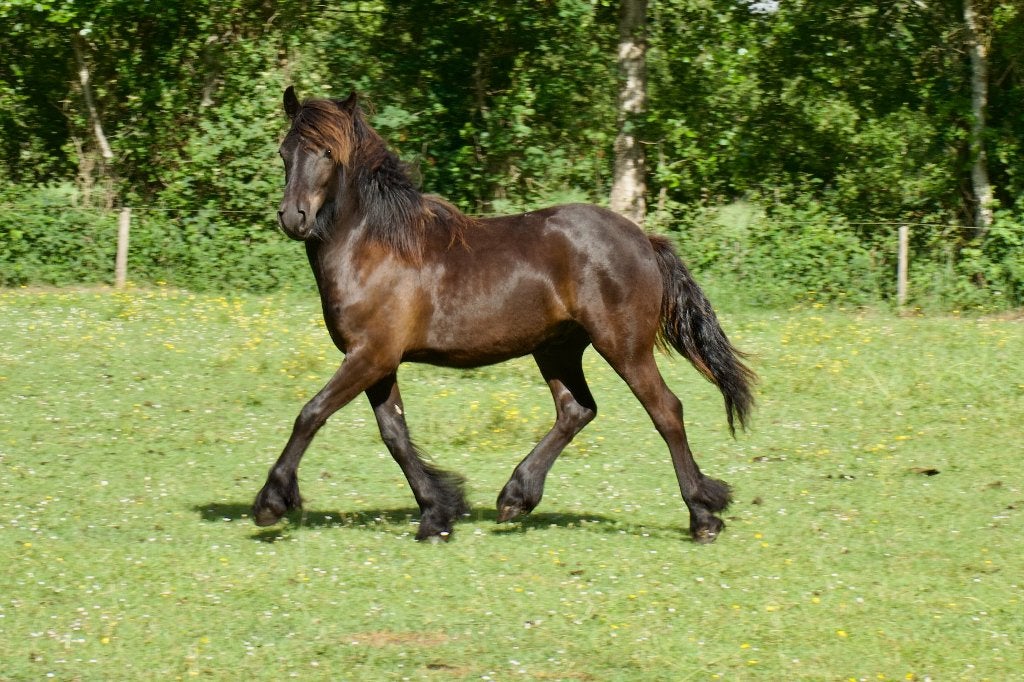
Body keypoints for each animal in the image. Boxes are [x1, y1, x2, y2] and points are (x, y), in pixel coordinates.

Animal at [252, 86, 756, 543]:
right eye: (284, 151)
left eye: (327, 152)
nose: (293, 217)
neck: (374, 249)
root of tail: (644, 240)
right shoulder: (379, 361)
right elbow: (394, 434)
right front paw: (437, 514)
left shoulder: (369, 356)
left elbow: (311, 413)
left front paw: (271, 503)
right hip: (557, 349)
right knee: (576, 410)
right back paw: (516, 496)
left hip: (623, 347)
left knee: (665, 410)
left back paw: (703, 517)